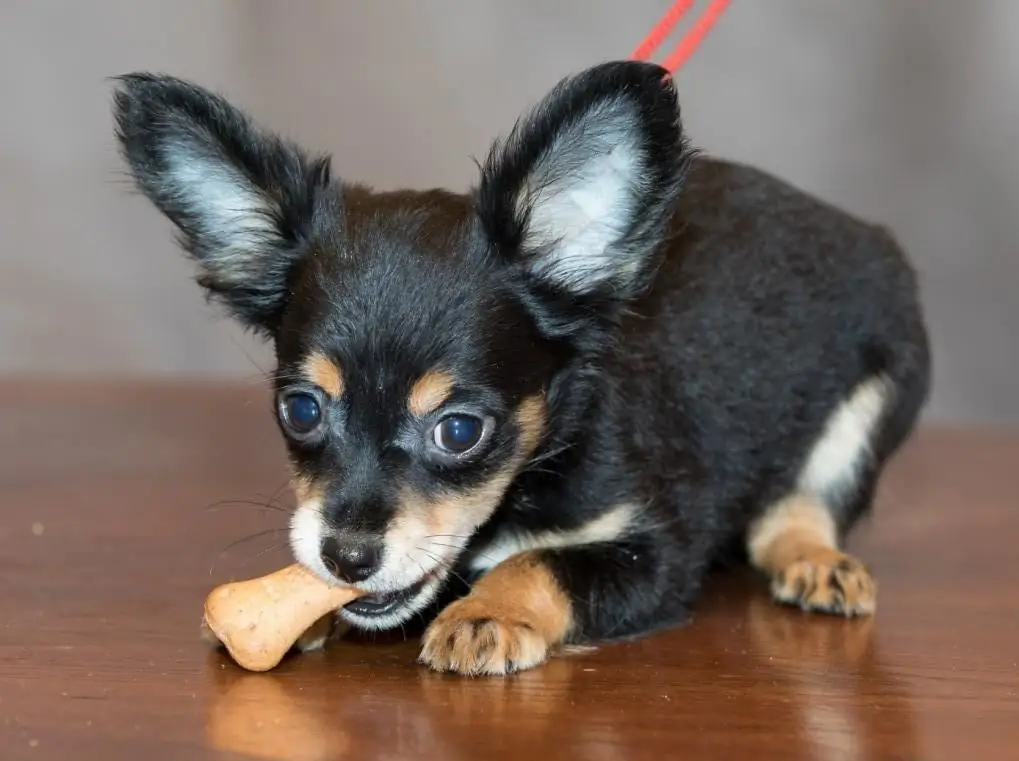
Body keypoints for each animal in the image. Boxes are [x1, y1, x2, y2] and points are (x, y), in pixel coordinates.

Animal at [111, 61, 933, 680]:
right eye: (301, 411)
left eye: (460, 431)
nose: (345, 555)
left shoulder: (657, 552)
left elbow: (541, 562)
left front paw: (487, 610)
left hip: (876, 394)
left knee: (798, 508)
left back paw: (815, 560)